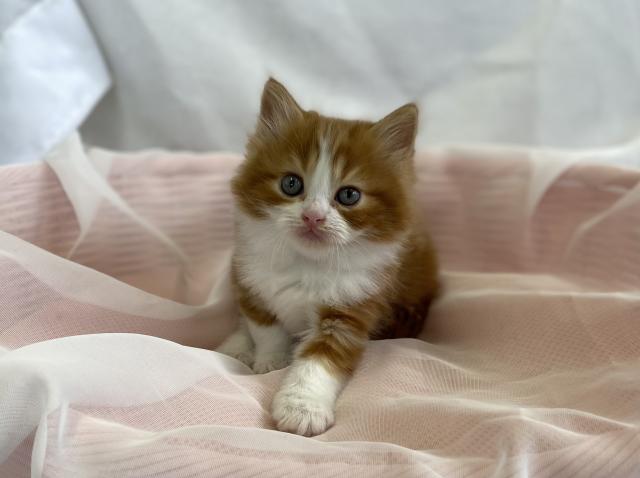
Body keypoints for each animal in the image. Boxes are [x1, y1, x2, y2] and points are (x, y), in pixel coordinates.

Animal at [217, 78, 439, 436]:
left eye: (349, 195)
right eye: (291, 184)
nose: (313, 217)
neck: (307, 264)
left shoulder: (352, 310)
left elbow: (318, 363)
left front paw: (301, 409)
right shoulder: (250, 279)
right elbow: (266, 327)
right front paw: (270, 359)